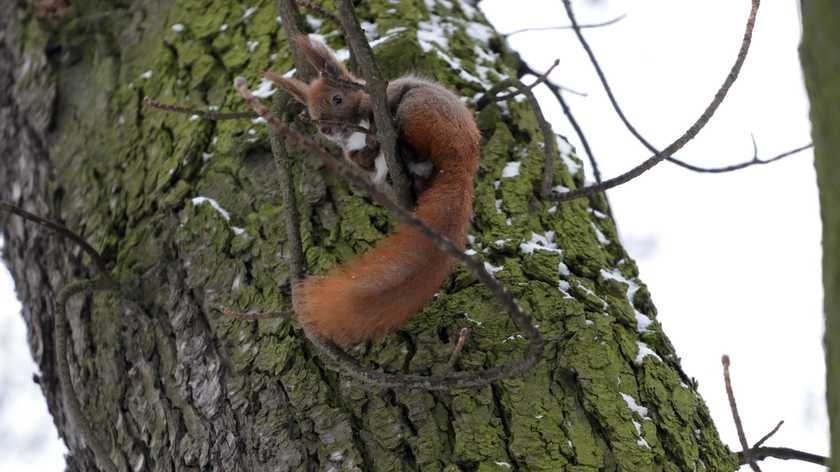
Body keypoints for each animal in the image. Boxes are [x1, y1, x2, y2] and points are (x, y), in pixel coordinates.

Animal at [270, 35, 480, 346]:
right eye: (313, 116)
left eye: (337, 98)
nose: (328, 130)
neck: (354, 132)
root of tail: (462, 161)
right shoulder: (355, 156)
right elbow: (362, 160)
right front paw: (367, 151)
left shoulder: (381, 100)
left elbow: (383, 107)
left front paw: (374, 136)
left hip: (419, 110)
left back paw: (404, 147)